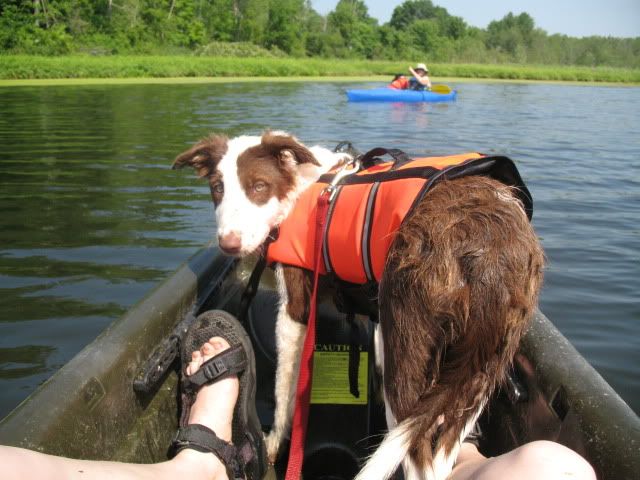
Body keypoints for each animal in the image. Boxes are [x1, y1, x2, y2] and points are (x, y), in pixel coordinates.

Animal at [172, 131, 544, 480]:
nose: (229, 244)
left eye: (259, 186)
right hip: (479, 366)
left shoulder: (295, 311)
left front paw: (276, 440)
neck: (304, 188)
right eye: (217, 188)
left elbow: (283, 387)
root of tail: (489, 249)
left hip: (409, 354)